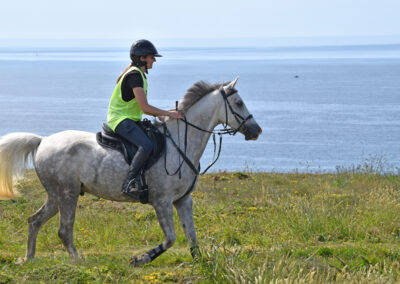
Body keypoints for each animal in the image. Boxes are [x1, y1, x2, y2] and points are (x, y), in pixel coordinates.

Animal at [0, 77, 262, 266]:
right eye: (239, 103)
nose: (256, 130)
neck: (180, 142)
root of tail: (42, 141)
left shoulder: (183, 200)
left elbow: (191, 235)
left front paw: (202, 263)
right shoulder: (161, 201)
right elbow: (170, 238)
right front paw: (141, 259)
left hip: (56, 195)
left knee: (34, 220)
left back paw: (29, 258)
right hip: (67, 194)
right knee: (64, 230)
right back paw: (76, 260)